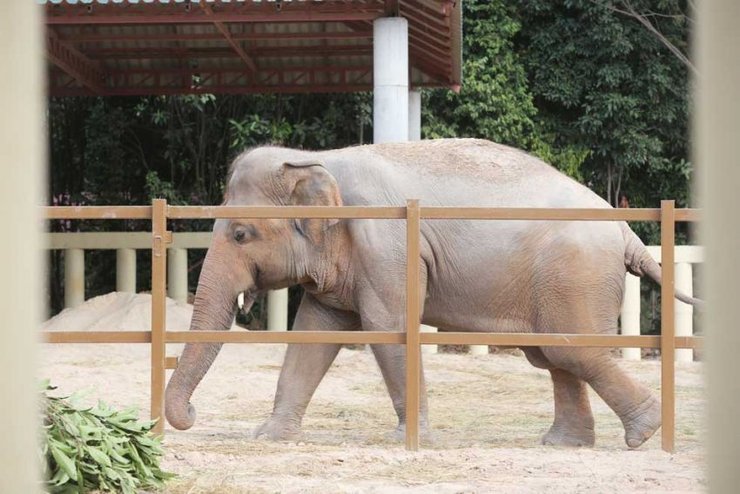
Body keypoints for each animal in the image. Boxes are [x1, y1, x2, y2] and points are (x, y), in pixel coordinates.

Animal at [165, 138, 700, 448]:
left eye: (240, 234)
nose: (192, 414)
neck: (318, 159)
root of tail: (626, 231)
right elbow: (315, 334)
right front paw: (270, 437)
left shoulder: (387, 245)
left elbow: (388, 328)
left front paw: (406, 439)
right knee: (555, 354)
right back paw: (564, 444)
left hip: (575, 274)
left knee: (572, 350)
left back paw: (642, 432)